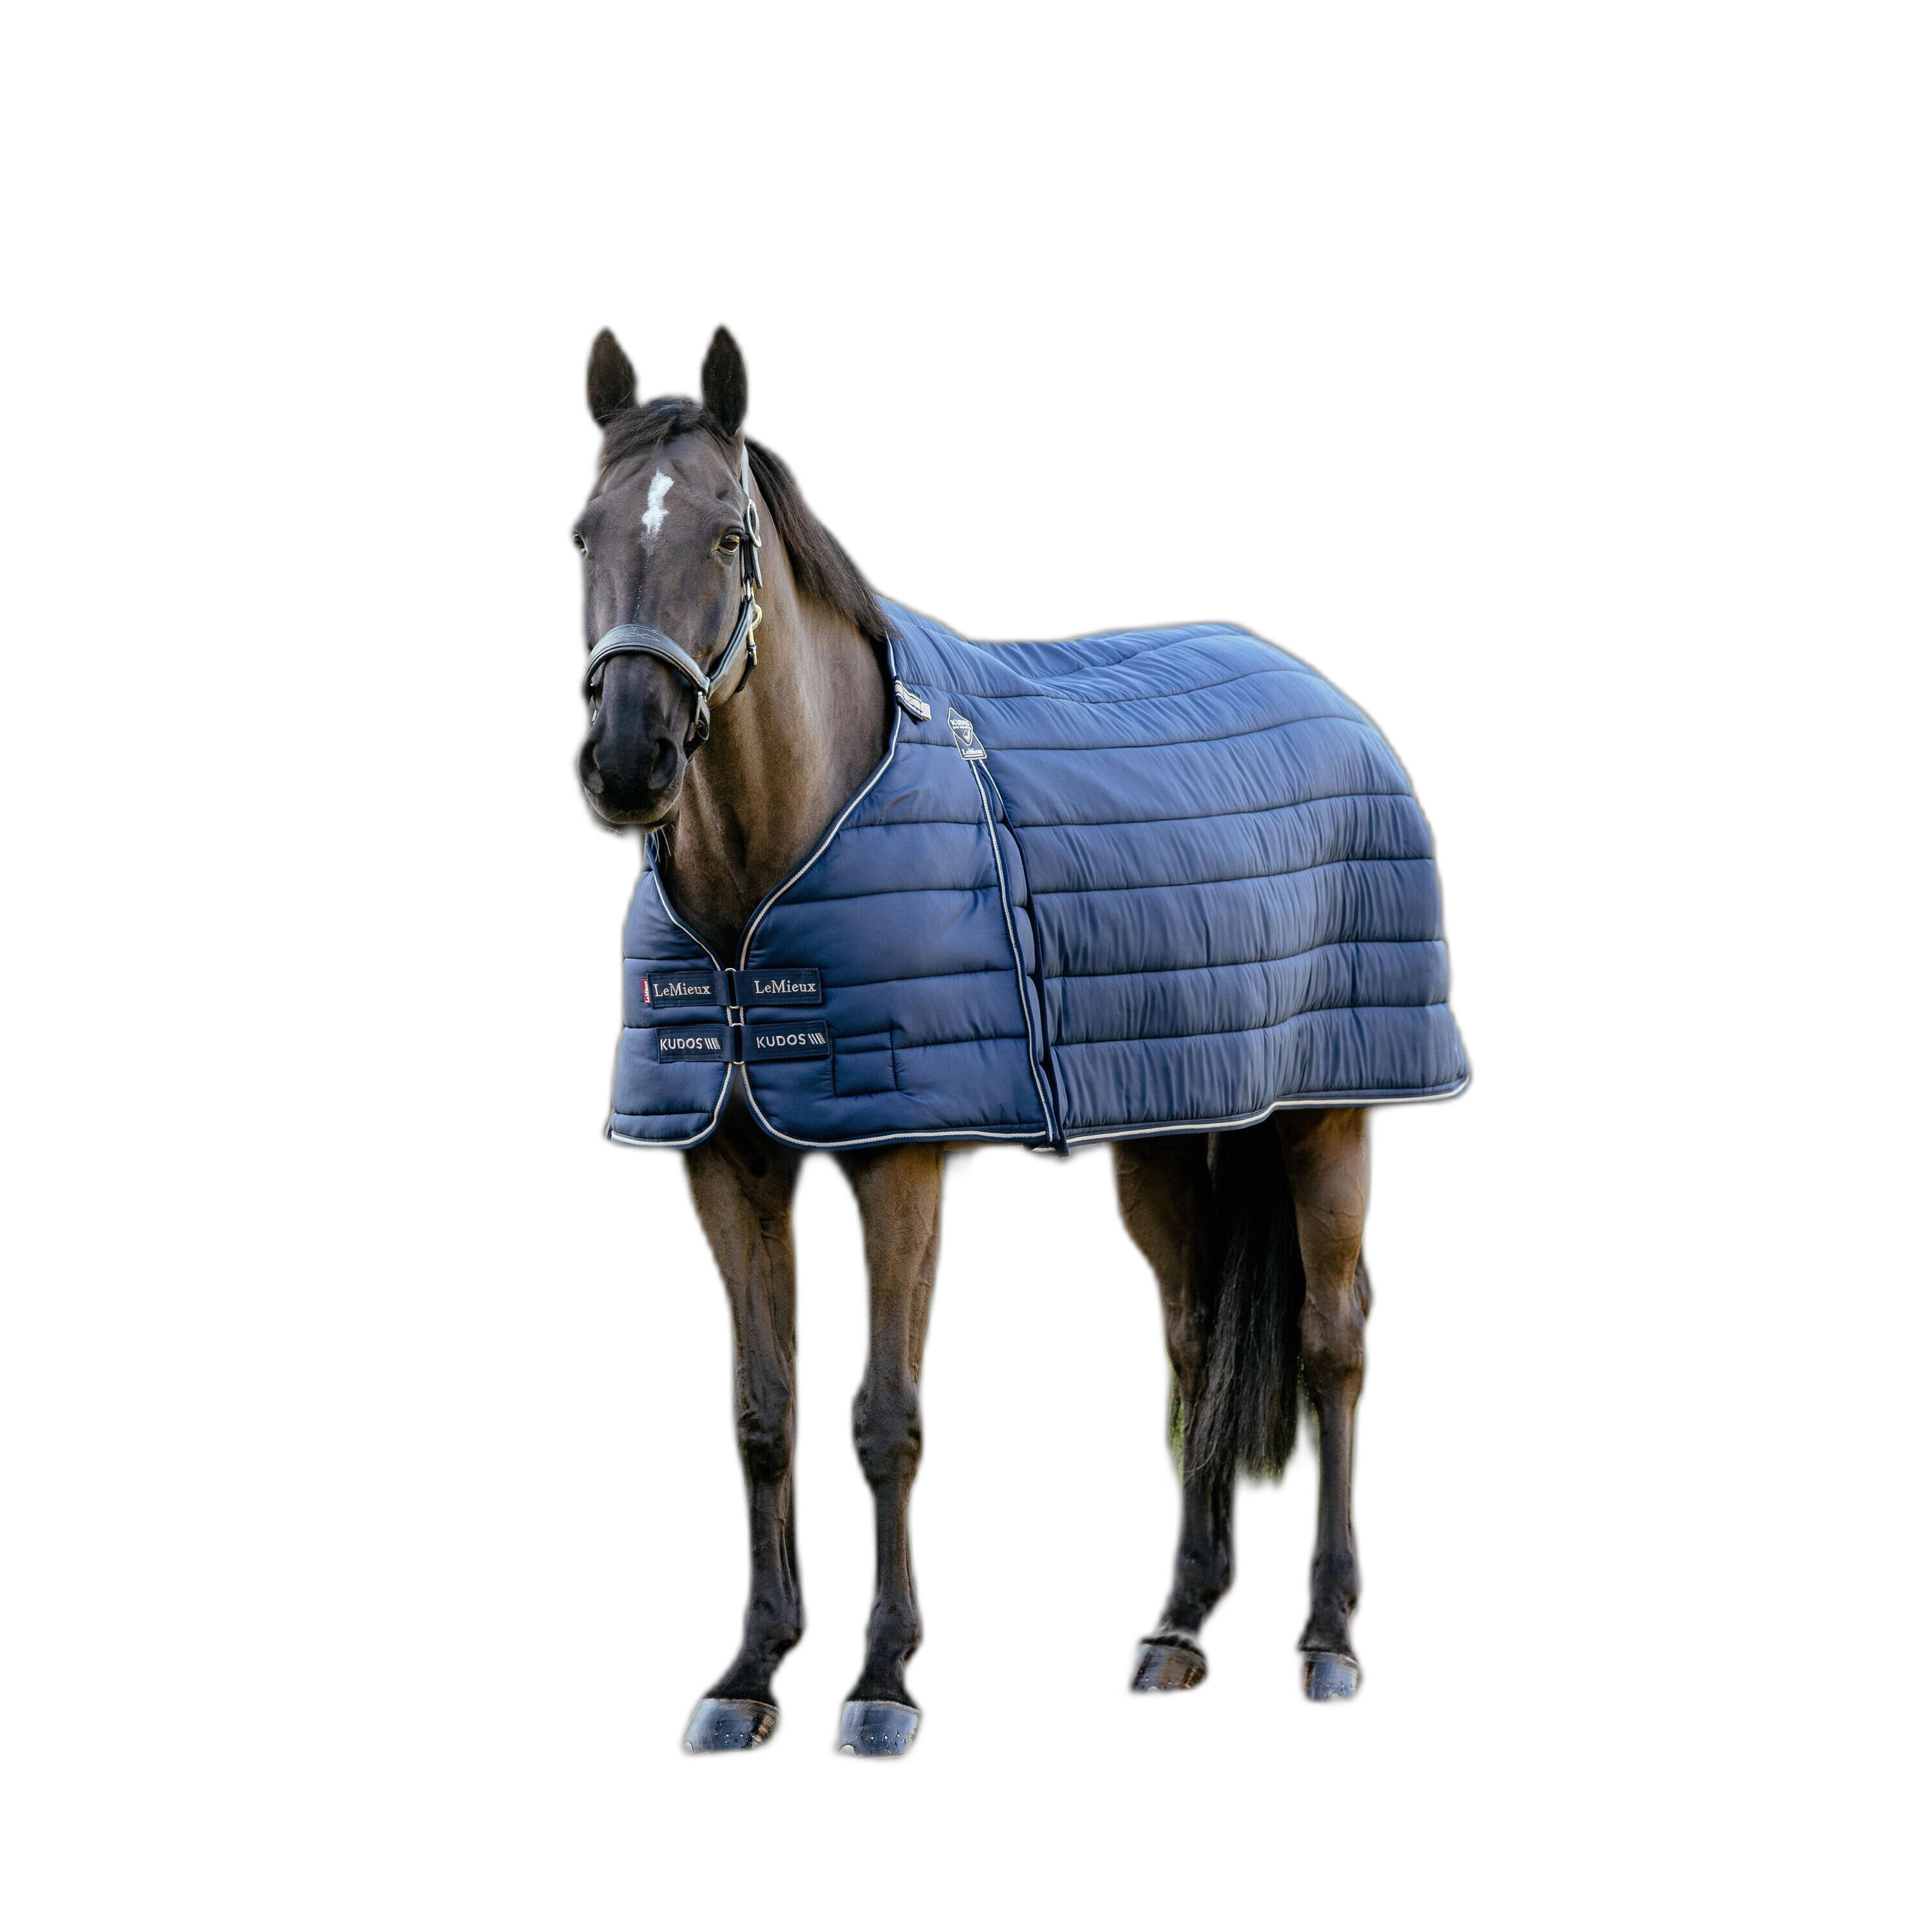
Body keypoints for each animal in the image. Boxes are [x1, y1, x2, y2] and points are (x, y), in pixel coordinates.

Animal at [573, 326, 1459, 1755]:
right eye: (582, 531)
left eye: (727, 535)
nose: (628, 761)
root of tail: (1337, 702)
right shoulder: (726, 1162)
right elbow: (765, 1413)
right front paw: (749, 1674)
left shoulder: (899, 1157)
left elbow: (885, 1419)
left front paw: (882, 1683)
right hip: (1171, 1134)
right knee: (1197, 1341)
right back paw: (1178, 1627)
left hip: (1330, 1116)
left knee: (1335, 1340)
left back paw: (1328, 1641)